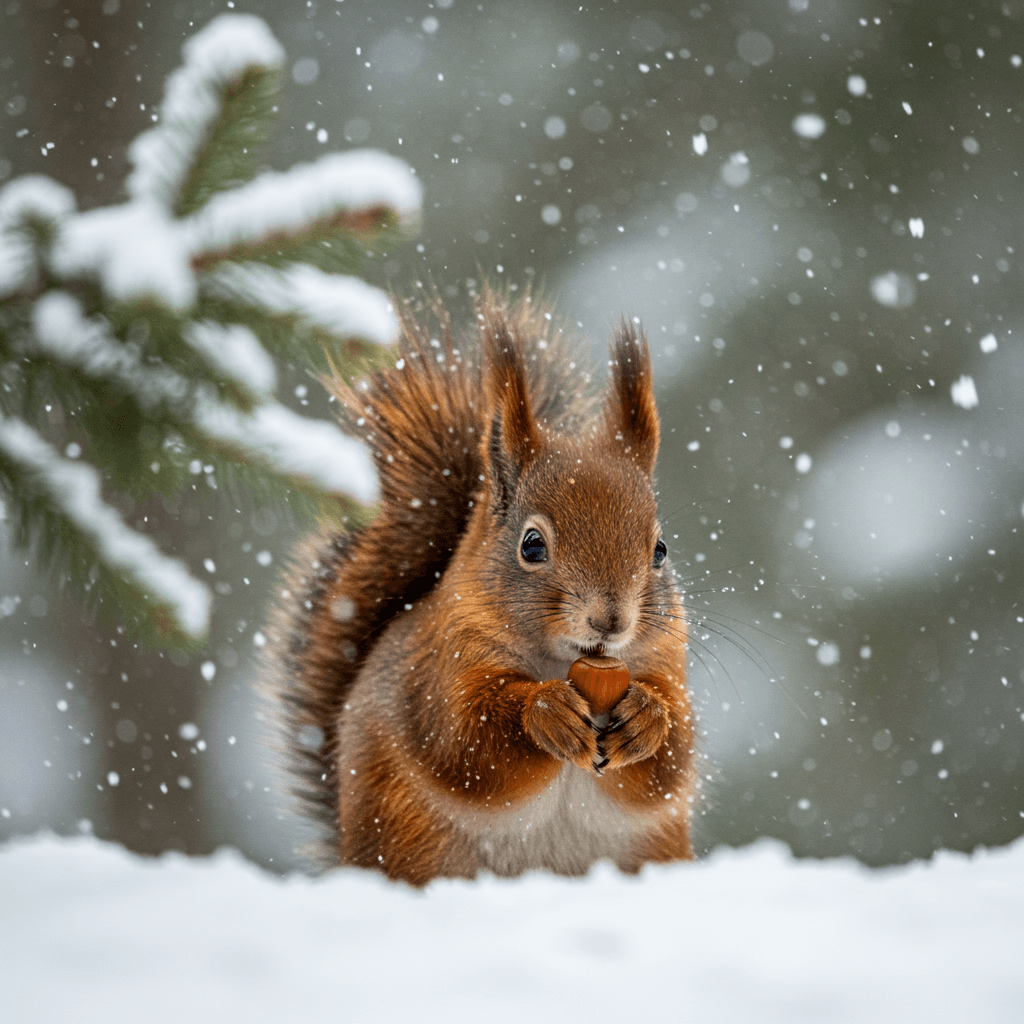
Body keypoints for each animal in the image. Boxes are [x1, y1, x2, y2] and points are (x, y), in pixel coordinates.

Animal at [267, 289, 695, 886]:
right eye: (532, 545)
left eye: (660, 550)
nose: (610, 621)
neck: (564, 662)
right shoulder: (439, 669)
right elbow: (468, 742)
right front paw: (545, 713)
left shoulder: (667, 663)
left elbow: (672, 762)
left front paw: (646, 719)